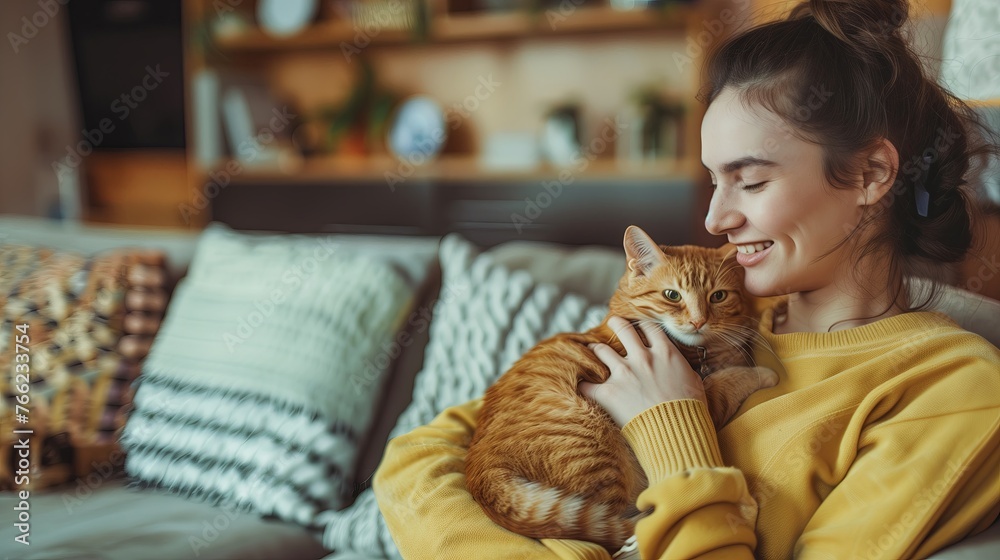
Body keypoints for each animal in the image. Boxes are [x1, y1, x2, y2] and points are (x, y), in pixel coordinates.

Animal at [464, 225, 776, 548]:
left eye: (718, 296)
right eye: (672, 295)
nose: (698, 321)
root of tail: (481, 473)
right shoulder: (707, 402)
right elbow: (730, 379)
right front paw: (764, 374)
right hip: (594, 447)